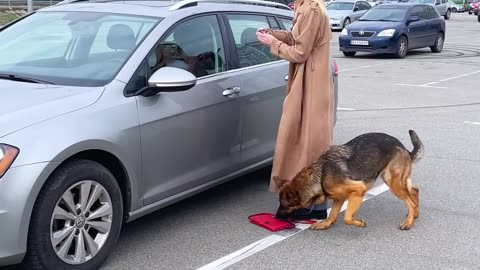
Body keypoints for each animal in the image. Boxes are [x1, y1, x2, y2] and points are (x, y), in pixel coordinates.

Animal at [274, 131, 424, 230]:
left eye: (285, 205)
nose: (276, 217)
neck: (321, 175)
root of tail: (403, 147)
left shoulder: (358, 190)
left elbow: (347, 217)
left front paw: (359, 223)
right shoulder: (338, 198)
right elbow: (332, 215)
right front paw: (325, 224)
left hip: (393, 182)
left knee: (410, 201)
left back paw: (408, 222)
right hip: (396, 181)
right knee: (414, 190)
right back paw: (415, 214)